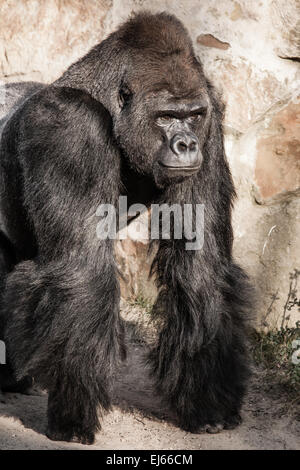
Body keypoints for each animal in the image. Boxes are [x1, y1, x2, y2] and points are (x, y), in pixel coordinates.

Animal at [0, 11, 252, 444]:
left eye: (193, 115)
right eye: (166, 117)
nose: (186, 144)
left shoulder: (211, 123)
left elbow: (200, 269)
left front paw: (208, 400)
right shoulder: (70, 127)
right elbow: (82, 272)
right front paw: (73, 416)